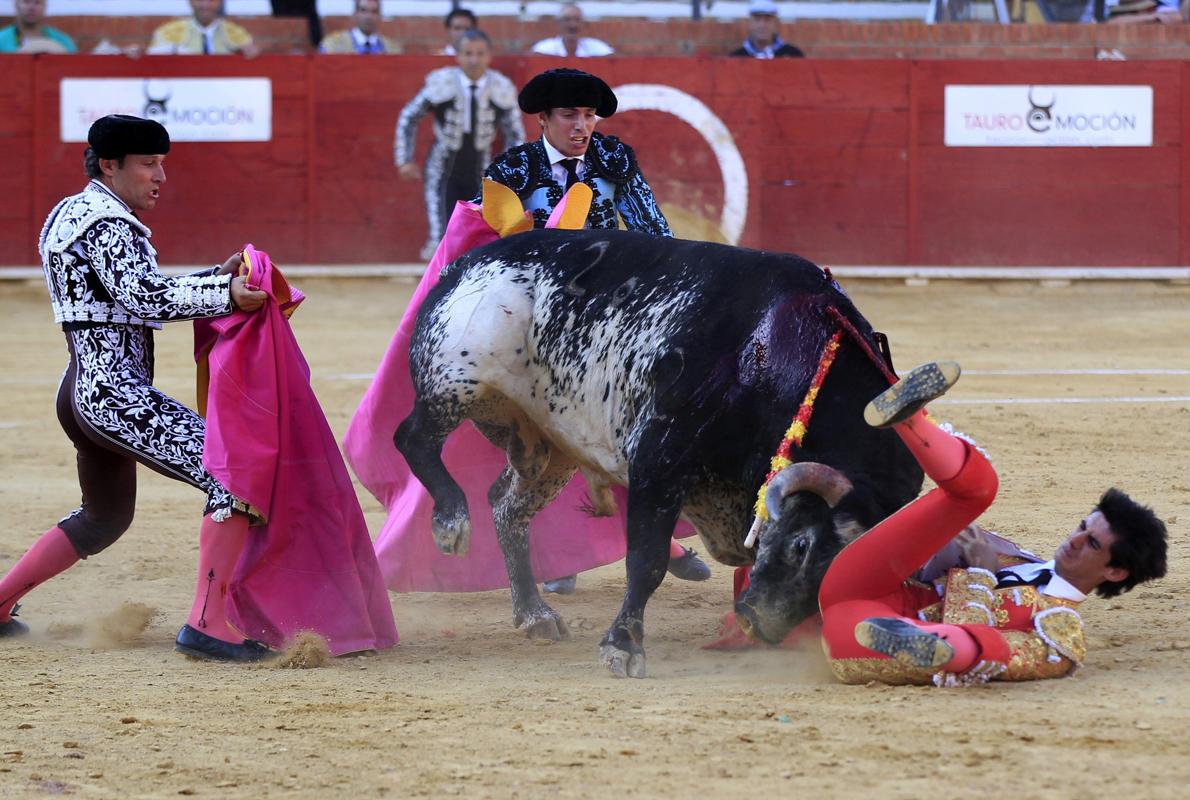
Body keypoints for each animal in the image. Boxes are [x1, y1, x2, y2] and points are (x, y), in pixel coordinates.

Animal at [395, 228, 923, 676]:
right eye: (801, 546)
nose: (759, 623)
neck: (775, 351)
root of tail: (464, 263)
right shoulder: (659, 458)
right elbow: (645, 561)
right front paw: (623, 646)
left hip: (550, 444)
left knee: (508, 508)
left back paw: (534, 614)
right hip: (455, 380)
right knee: (413, 438)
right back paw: (451, 523)